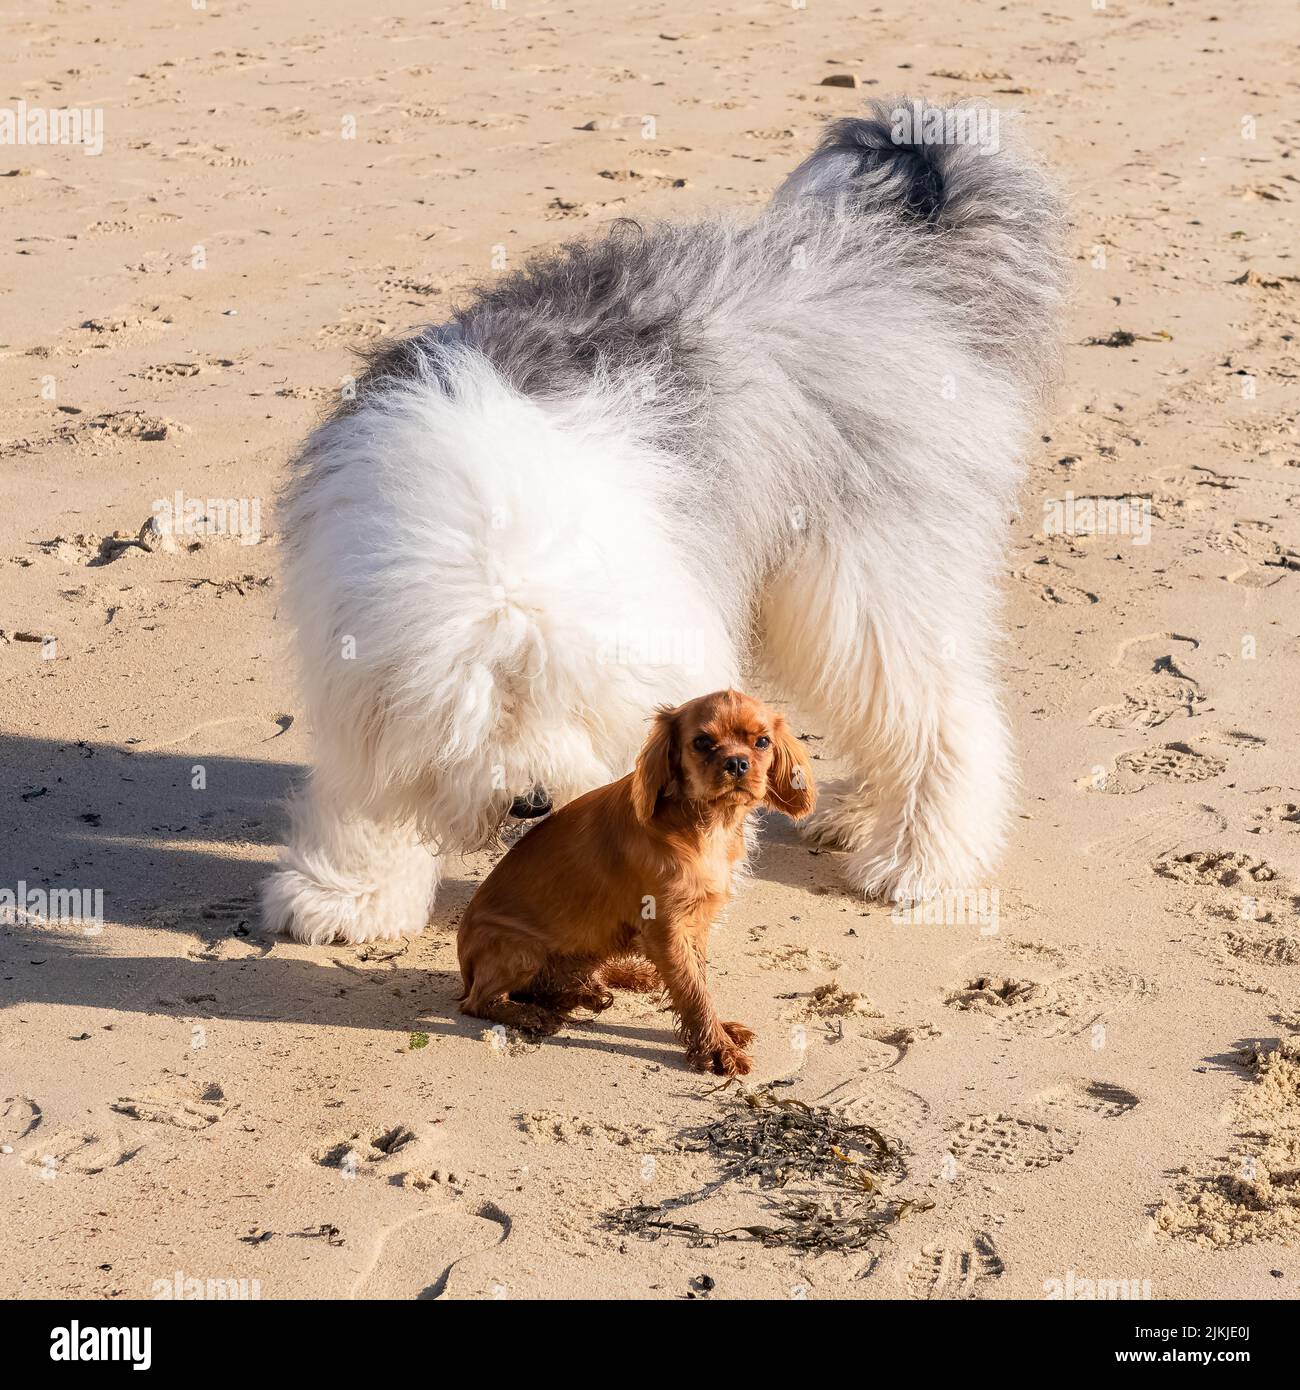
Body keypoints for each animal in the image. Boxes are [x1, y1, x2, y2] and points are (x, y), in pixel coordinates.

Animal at [258, 100, 1062, 945]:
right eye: (478, 707)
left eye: (571, 697)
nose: (531, 802)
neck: (498, 534)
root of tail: (897, 260)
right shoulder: (356, 651)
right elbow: (369, 786)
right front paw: (349, 893)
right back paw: (858, 817)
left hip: (857, 574)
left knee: (936, 707)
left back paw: (920, 857)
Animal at [458, 686, 811, 1073]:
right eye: (702, 742)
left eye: (762, 742)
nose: (736, 763)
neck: (705, 823)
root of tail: (464, 966)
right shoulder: (667, 927)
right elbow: (693, 991)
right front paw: (718, 1048)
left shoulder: (694, 922)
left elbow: (698, 978)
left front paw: (721, 1032)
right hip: (521, 950)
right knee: (478, 1002)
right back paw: (536, 1014)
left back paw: (604, 985)